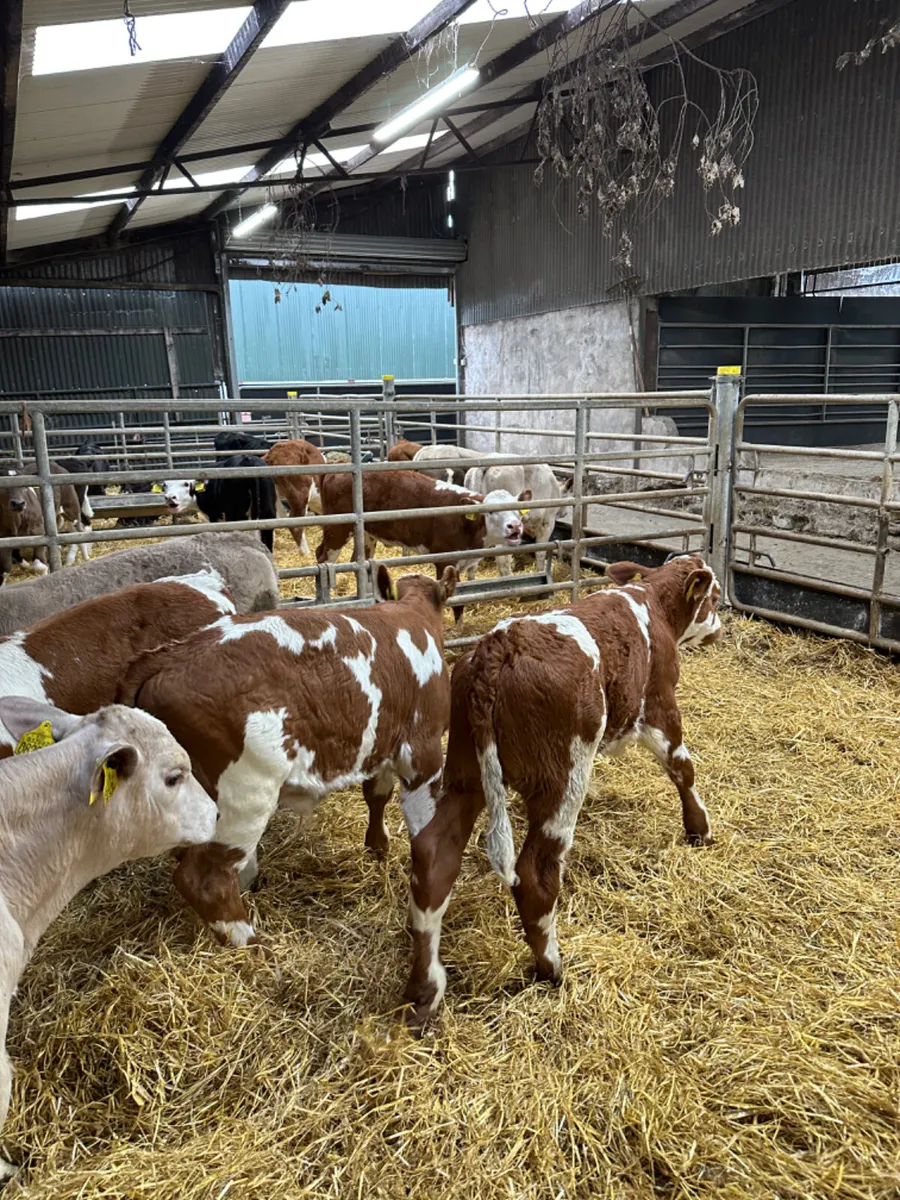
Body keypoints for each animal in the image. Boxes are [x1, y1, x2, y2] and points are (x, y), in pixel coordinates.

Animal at [117, 565, 458, 952]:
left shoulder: (383, 743)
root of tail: (168, 656)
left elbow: (376, 796)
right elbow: (423, 824)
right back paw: (253, 945)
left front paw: (378, 847)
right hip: (244, 796)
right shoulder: (422, 751)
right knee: (205, 879)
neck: (412, 616)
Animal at [316, 469, 531, 617]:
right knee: (324, 557)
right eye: (491, 511)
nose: (515, 526)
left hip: (367, 534)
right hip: (338, 528)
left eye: (518, 509)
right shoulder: (444, 560)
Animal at [401, 554, 723, 1026]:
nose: (721, 626)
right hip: (561, 779)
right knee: (534, 874)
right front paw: (698, 828)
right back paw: (551, 966)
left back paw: (426, 990)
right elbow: (684, 769)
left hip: (466, 771)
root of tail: (500, 645)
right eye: (714, 597)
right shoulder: (659, 706)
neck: (652, 603)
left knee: (434, 859)